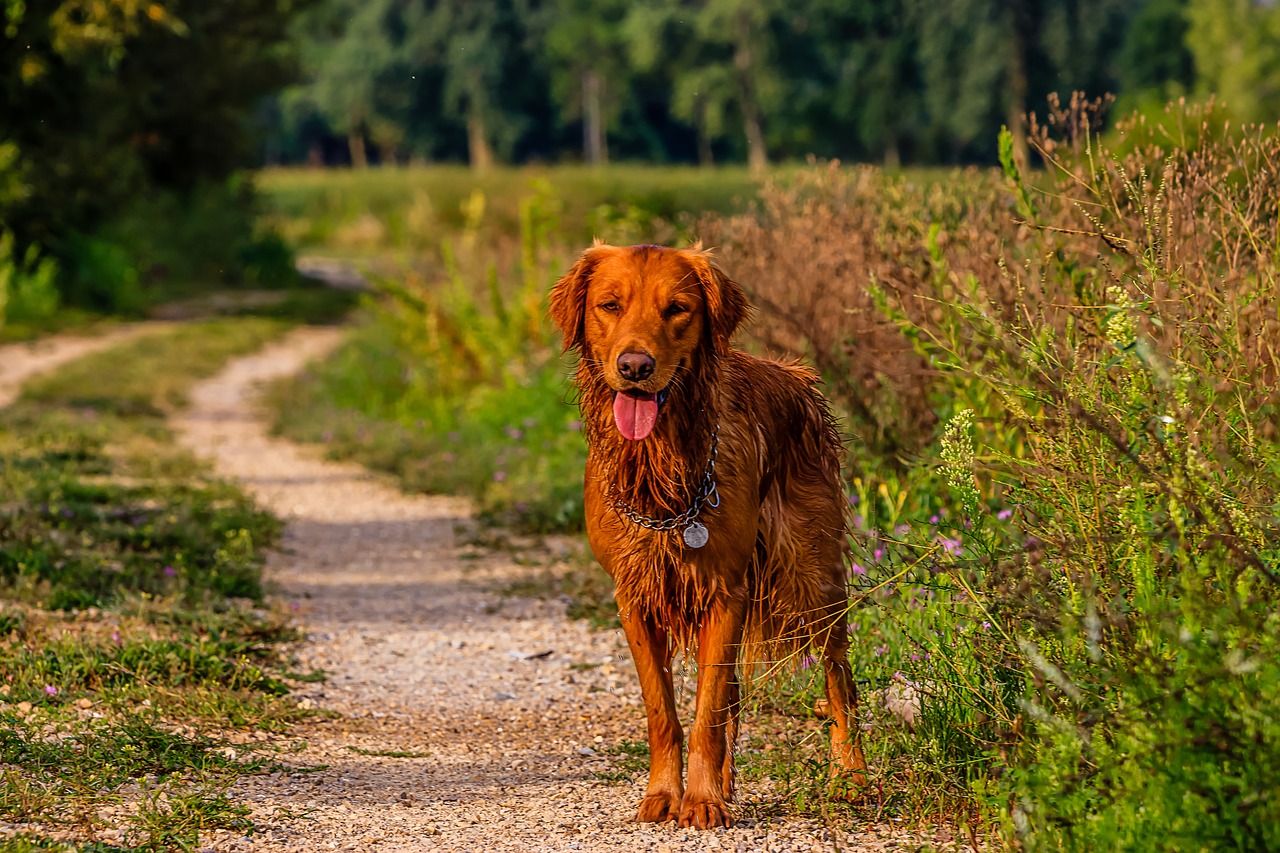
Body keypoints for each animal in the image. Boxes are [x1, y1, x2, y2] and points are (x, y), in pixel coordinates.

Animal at [550, 242, 870, 824]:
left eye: (677, 309)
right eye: (609, 305)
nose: (635, 367)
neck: (661, 466)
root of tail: (797, 377)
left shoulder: (726, 591)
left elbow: (707, 712)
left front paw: (699, 801)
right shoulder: (635, 597)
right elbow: (666, 712)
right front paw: (664, 794)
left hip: (813, 575)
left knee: (839, 681)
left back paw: (852, 777)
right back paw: (724, 782)